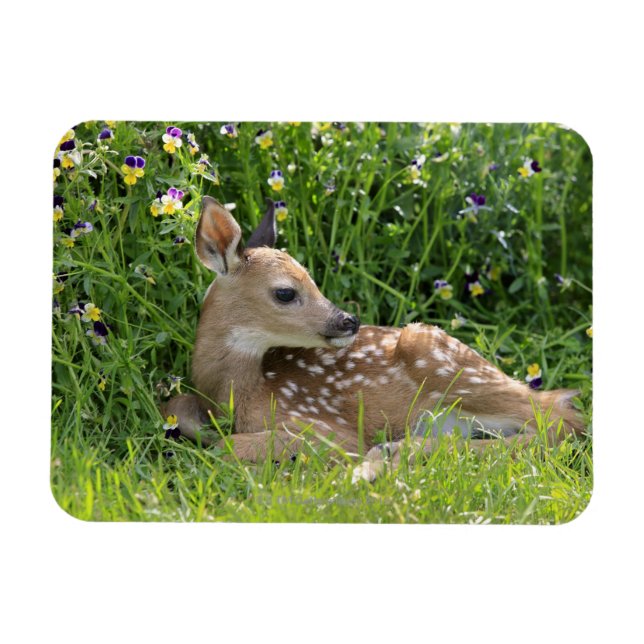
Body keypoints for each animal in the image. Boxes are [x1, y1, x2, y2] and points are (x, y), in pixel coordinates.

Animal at [164, 196, 585, 482]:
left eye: (313, 279)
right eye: (285, 292)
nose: (349, 320)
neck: (240, 394)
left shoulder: (329, 430)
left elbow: (226, 446)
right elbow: (178, 405)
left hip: (442, 358)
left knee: (560, 423)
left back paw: (384, 457)